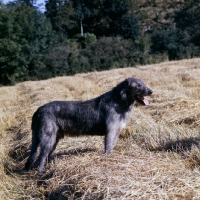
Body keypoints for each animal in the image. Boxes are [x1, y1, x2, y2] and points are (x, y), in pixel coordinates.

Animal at [25, 76, 153, 172]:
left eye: (143, 83)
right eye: (138, 85)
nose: (151, 91)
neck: (120, 100)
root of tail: (37, 111)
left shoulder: (116, 133)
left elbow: (111, 148)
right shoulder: (111, 132)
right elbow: (108, 148)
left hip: (52, 139)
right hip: (48, 138)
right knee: (41, 157)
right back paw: (41, 173)